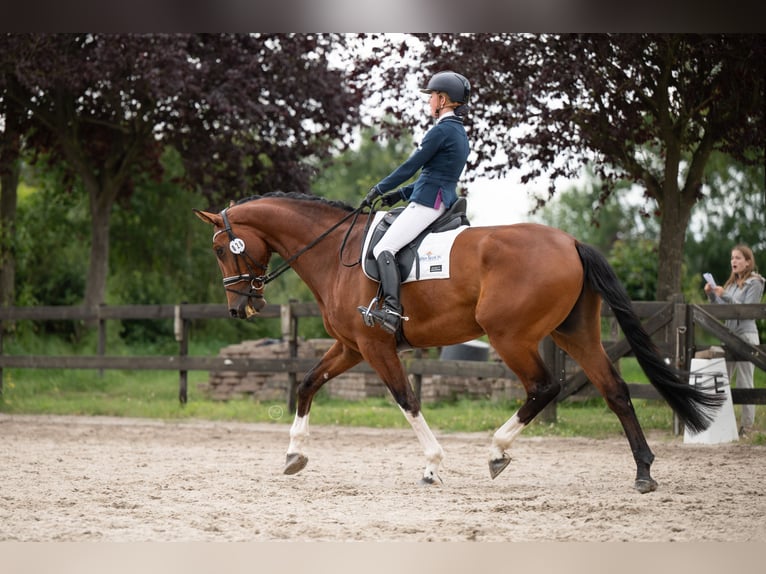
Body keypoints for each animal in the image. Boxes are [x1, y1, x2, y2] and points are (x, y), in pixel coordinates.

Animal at [195, 192, 724, 496]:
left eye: (221, 249)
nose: (239, 308)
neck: (333, 254)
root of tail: (571, 241)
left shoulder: (375, 346)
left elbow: (406, 399)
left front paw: (433, 467)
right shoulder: (350, 346)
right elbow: (306, 384)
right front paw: (294, 456)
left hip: (510, 336)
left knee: (544, 388)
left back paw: (496, 452)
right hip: (574, 332)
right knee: (615, 390)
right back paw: (643, 472)